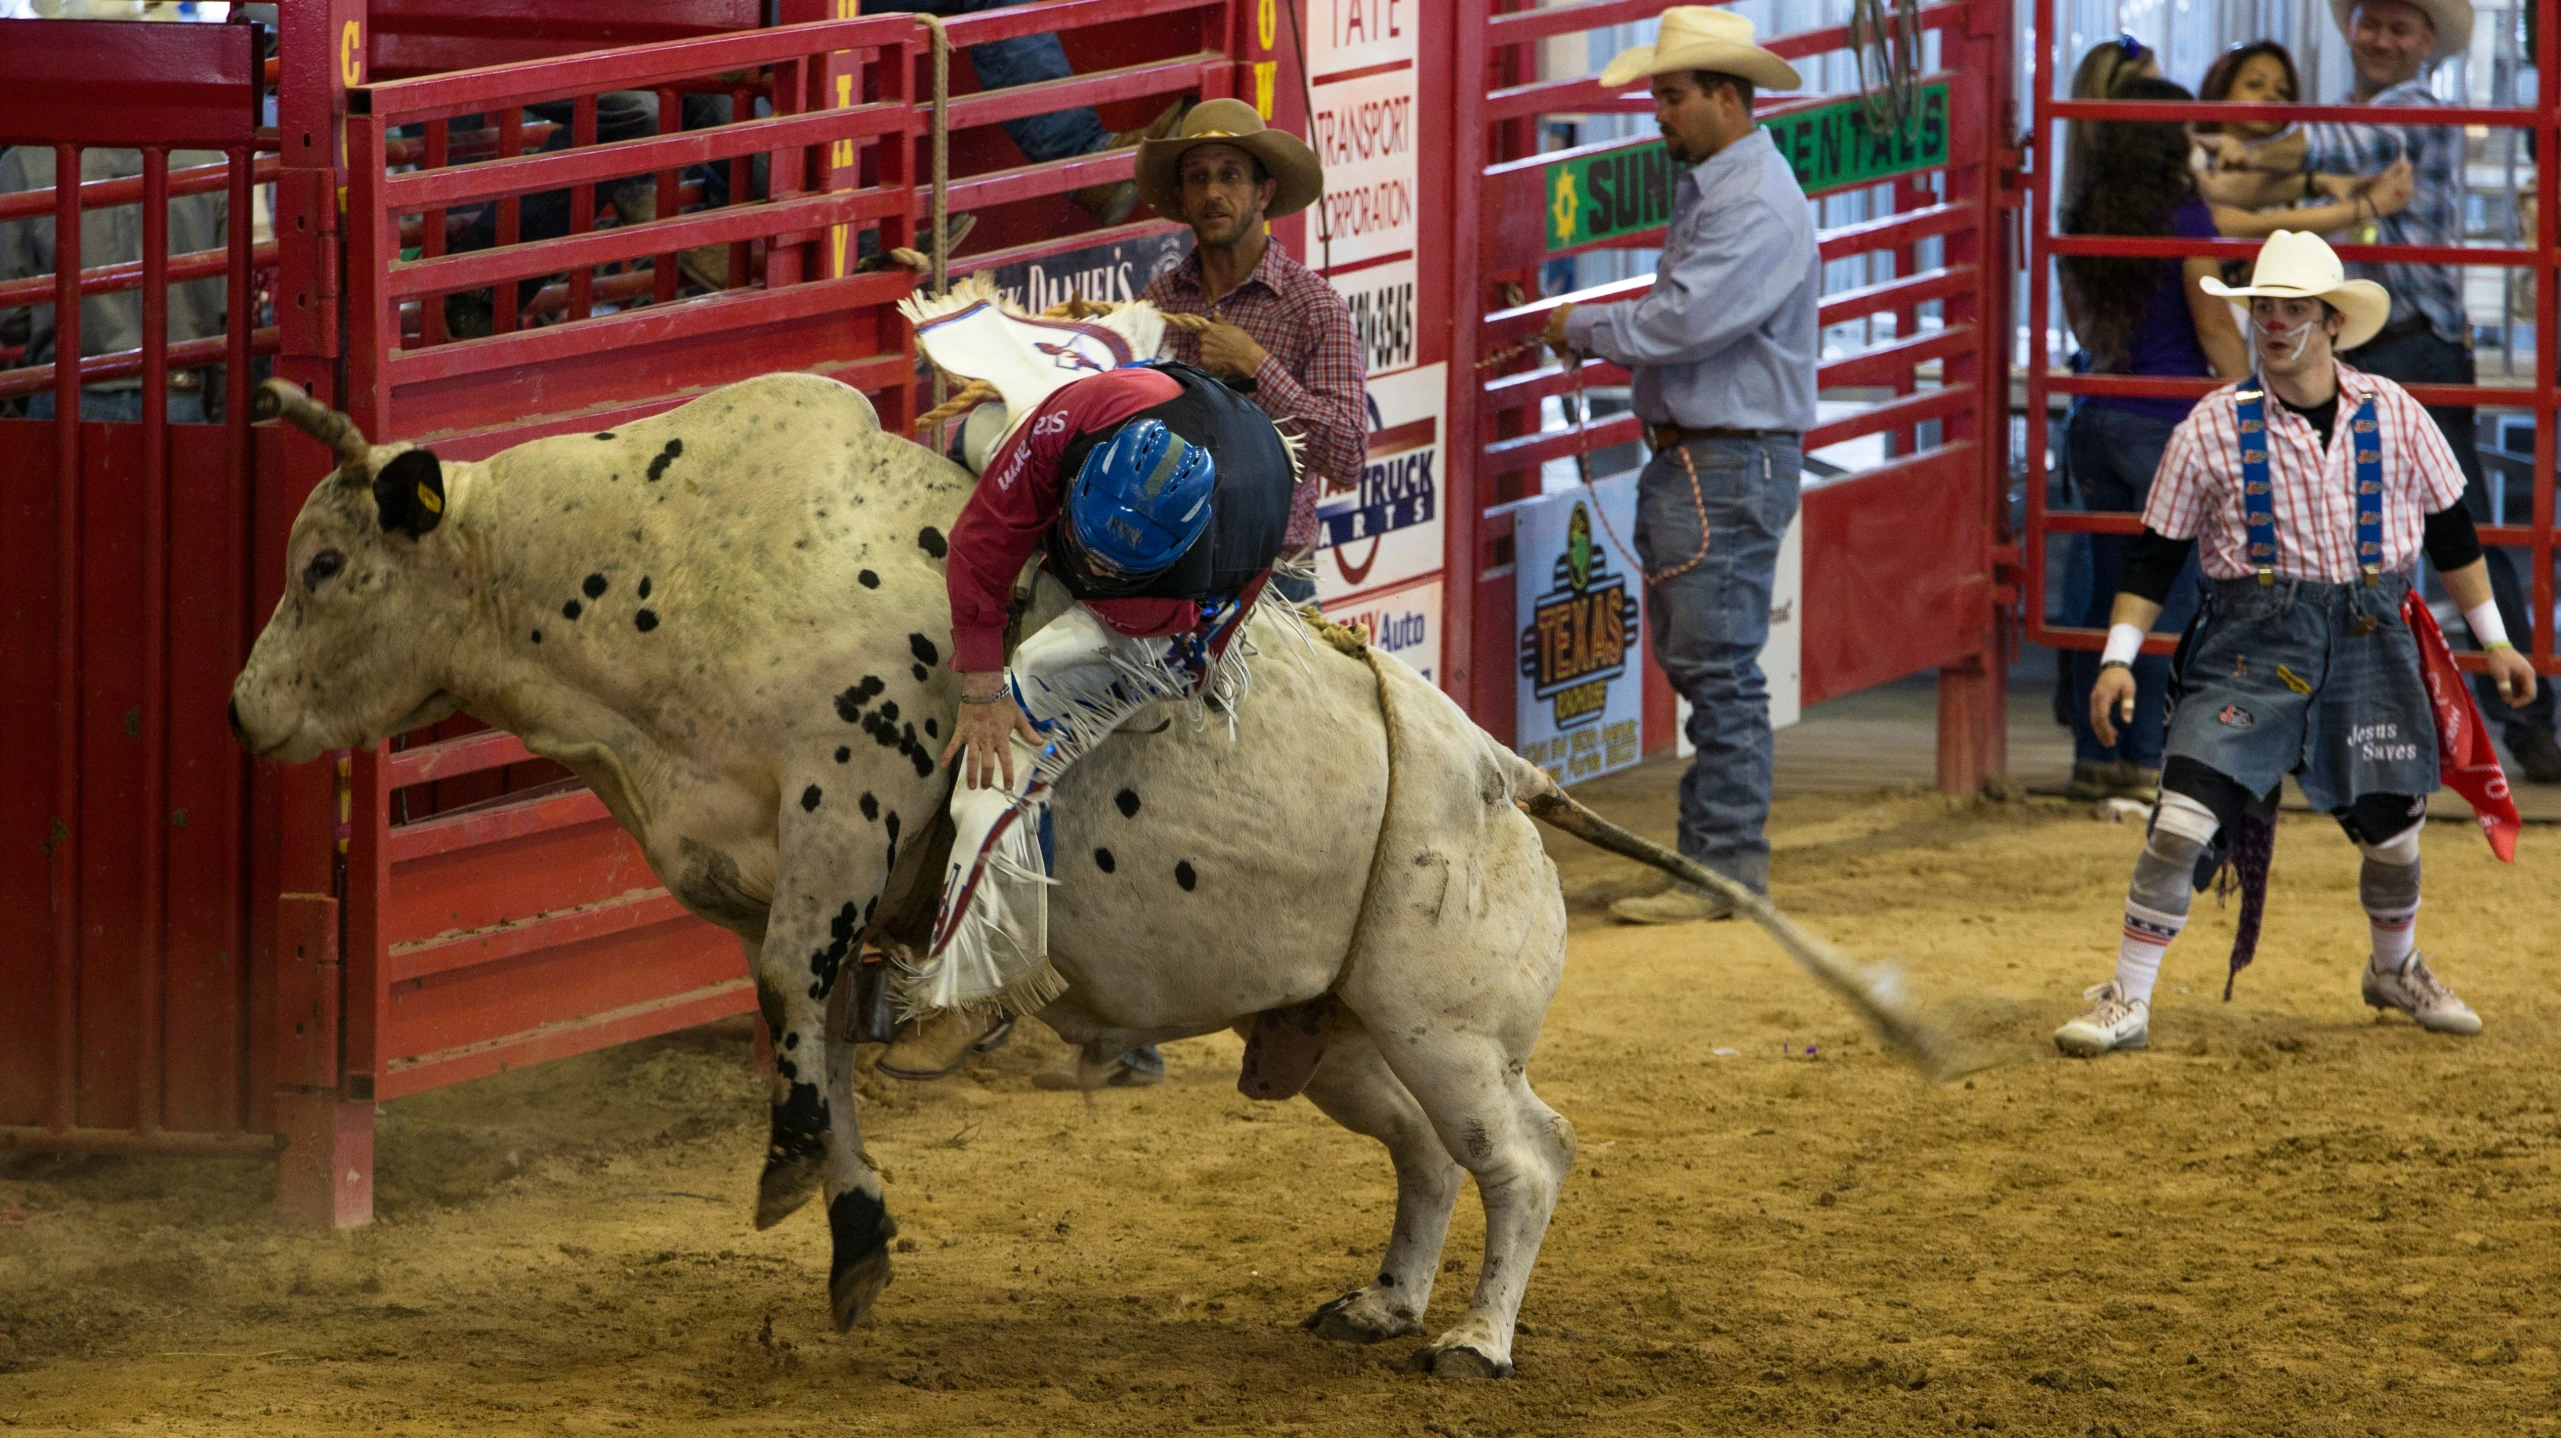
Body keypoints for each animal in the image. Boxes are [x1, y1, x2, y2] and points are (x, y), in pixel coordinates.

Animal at [235, 366, 1936, 1363]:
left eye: (325, 562)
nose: (248, 711)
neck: (659, 566)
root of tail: (1508, 773)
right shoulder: (782, 875)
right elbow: (809, 1030)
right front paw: (854, 1230)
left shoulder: (848, 808)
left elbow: (795, 1000)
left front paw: (799, 1185)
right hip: (1334, 1030)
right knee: (1427, 1155)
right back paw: (1381, 1299)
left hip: (1449, 1022)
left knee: (1526, 1152)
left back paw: (1473, 1338)